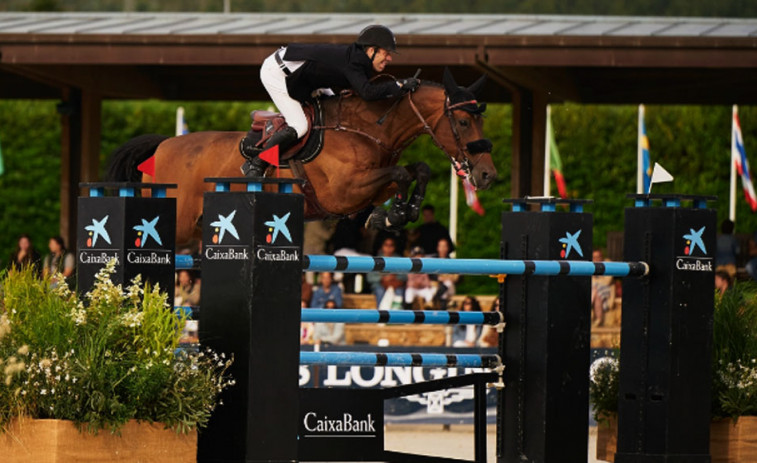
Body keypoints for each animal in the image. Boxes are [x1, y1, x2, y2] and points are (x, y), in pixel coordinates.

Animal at [106, 69, 496, 250]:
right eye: (464, 122)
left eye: (481, 120)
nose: (487, 175)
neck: (368, 128)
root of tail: (163, 146)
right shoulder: (344, 192)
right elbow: (401, 172)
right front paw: (394, 215)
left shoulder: (370, 186)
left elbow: (417, 169)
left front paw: (398, 213)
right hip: (179, 222)